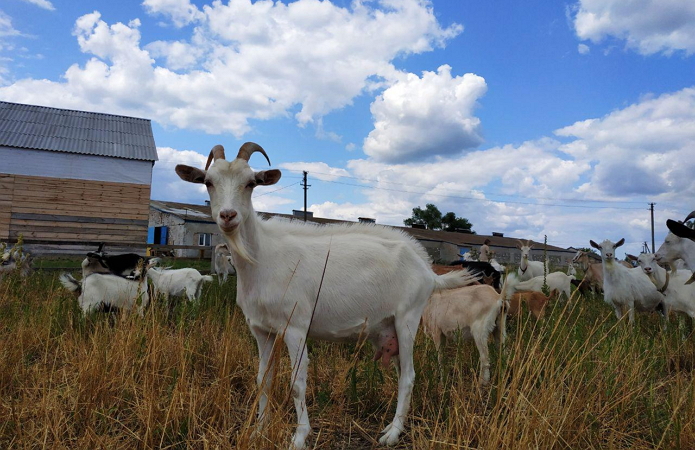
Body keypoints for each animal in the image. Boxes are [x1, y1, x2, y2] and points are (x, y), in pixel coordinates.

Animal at [175, 142, 478, 448]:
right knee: (402, 371)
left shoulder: (295, 327)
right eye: (208, 182)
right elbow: (263, 379)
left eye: (250, 183)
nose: (228, 216)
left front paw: (299, 437)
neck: (261, 258)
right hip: (388, 328)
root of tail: (427, 270)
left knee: (409, 376)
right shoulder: (261, 330)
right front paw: (258, 430)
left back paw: (392, 434)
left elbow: (297, 383)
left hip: (408, 317)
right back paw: (394, 425)